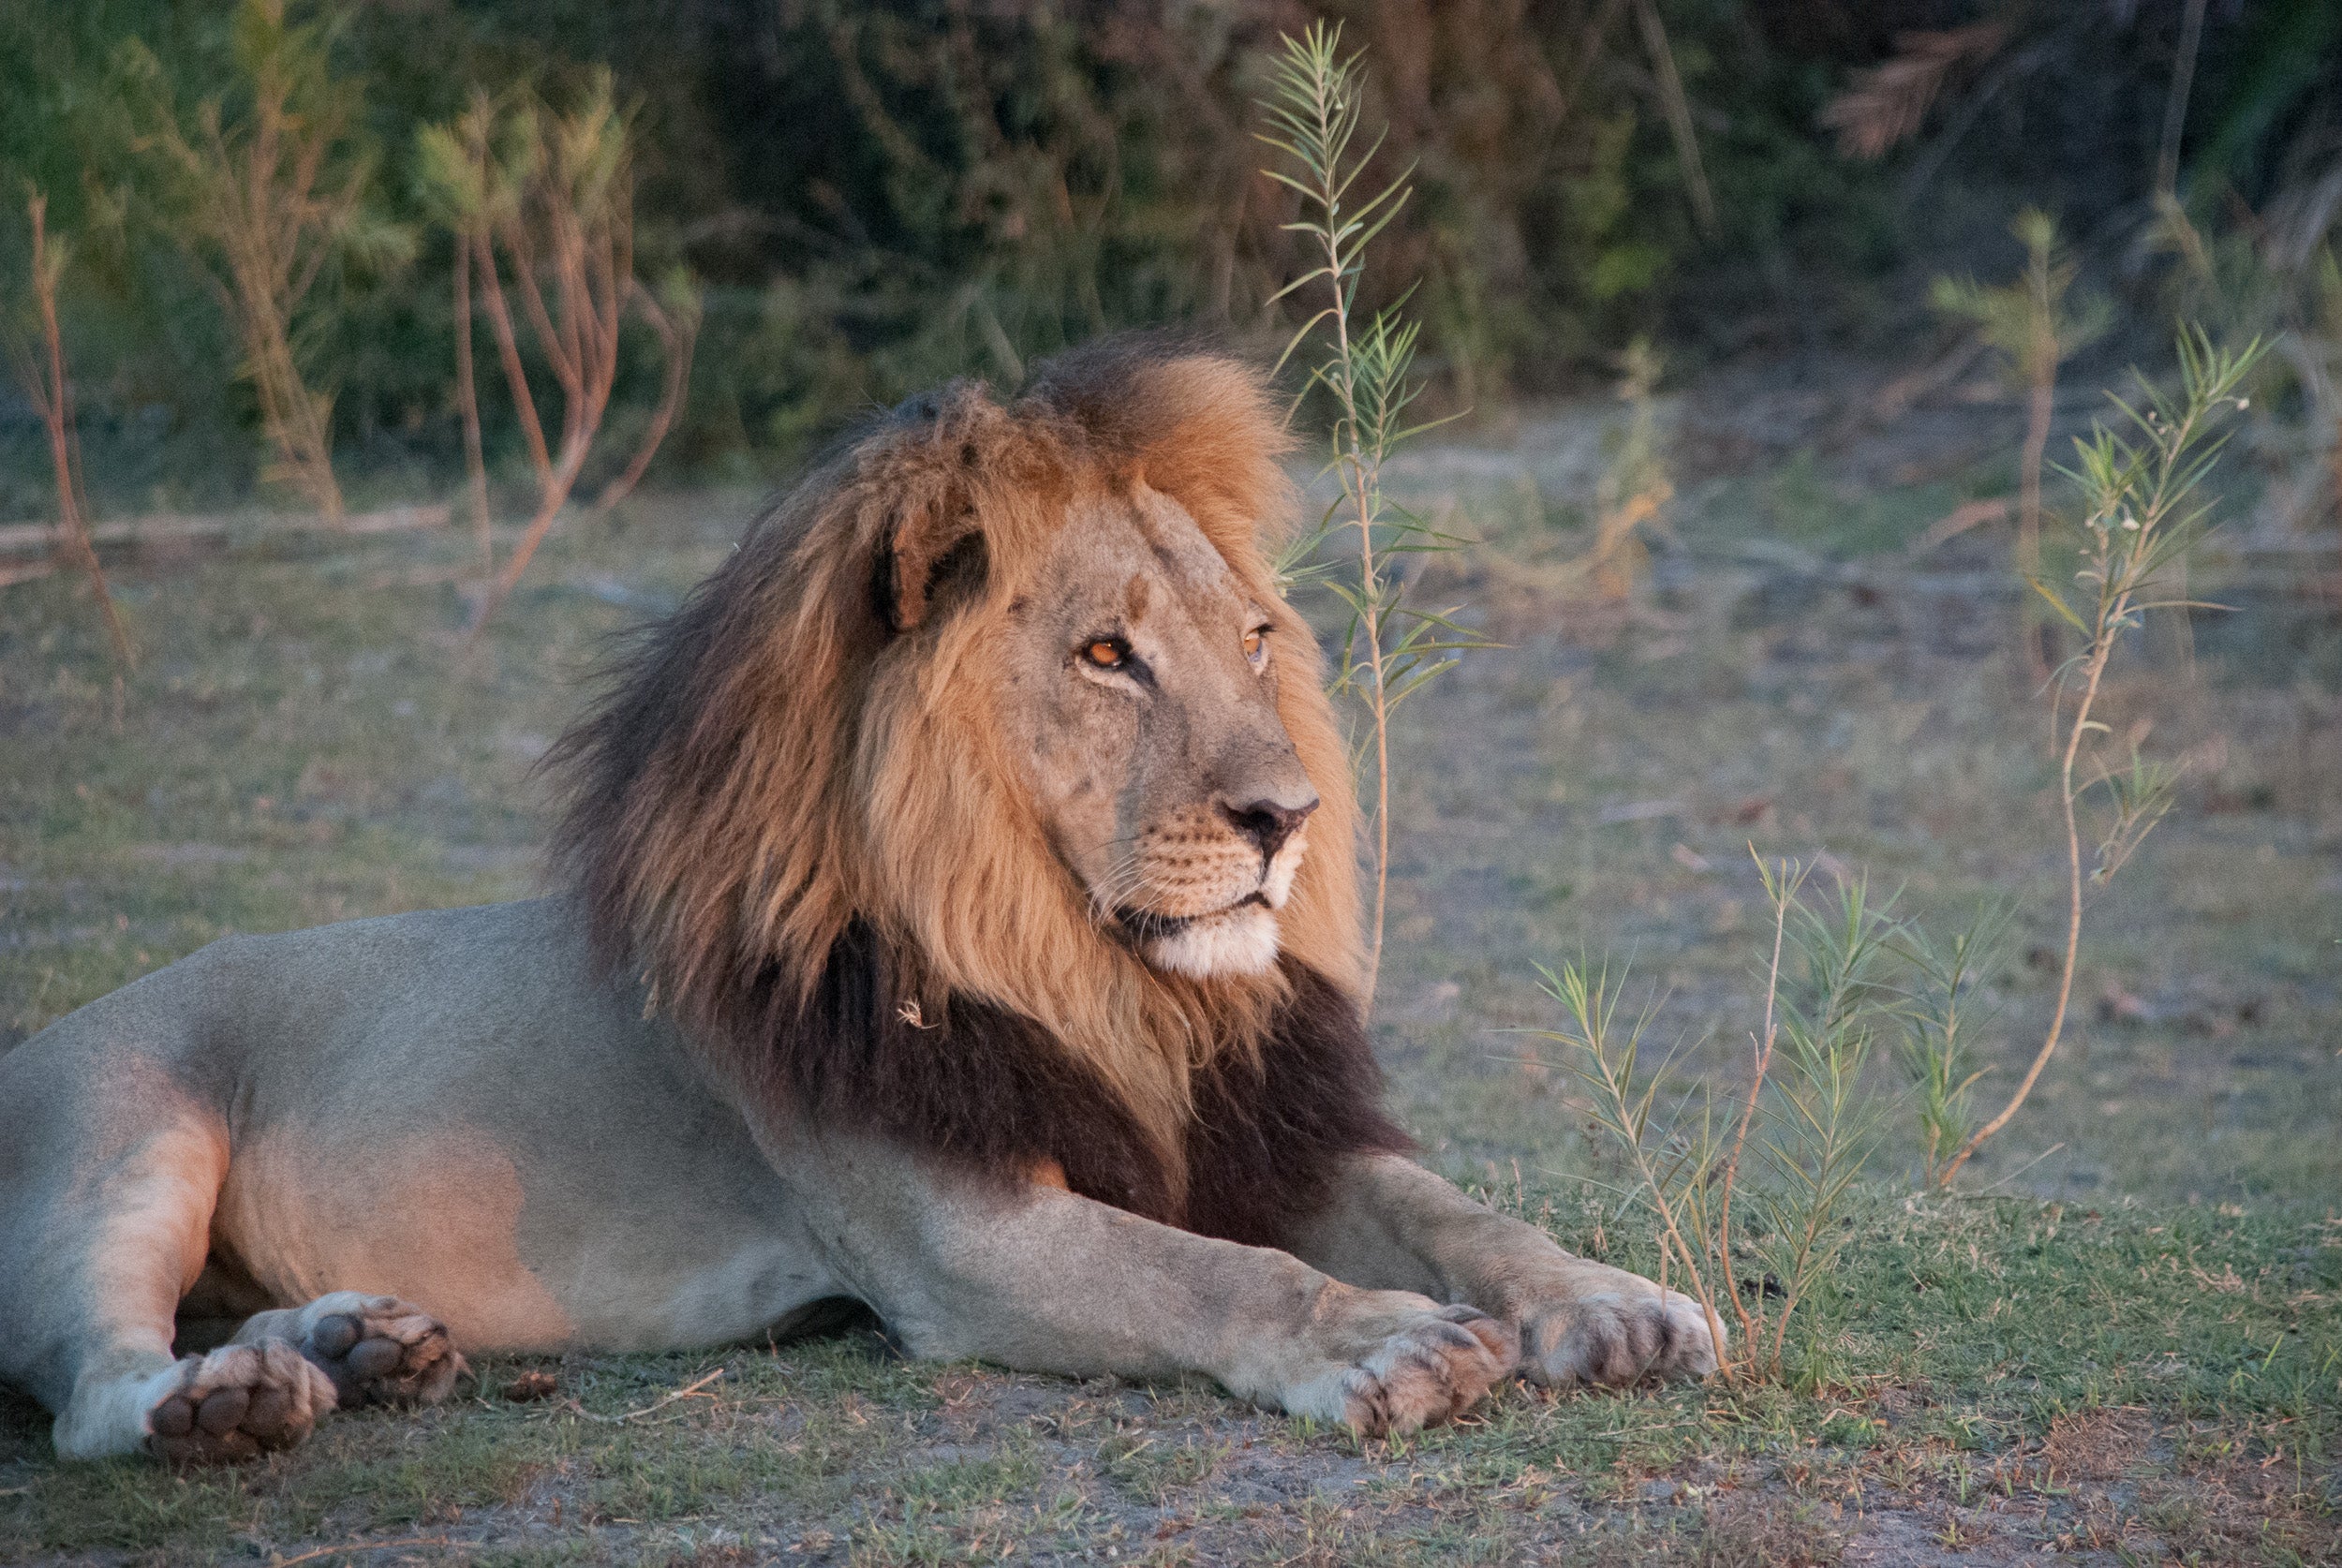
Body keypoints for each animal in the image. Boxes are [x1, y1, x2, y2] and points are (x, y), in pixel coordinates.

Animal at [0, 336, 1716, 1465]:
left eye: (1251, 640)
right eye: (1108, 654)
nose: (1286, 818)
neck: (1090, 969)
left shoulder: (1243, 1127)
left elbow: (1460, 1209)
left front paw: (1615, 1302)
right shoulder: (956, 1230)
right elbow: (1216, 1269)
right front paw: (1386, 1336)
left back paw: (353, 1343)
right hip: (125, 1136)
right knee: (95, 1380)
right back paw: (229, 1404)